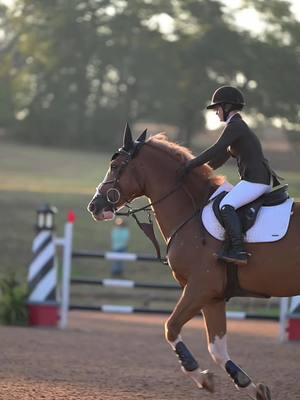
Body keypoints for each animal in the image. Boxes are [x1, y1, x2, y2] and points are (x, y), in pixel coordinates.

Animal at [87, 123, 300, 398]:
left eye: (115, 166)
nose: (94, 206)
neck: (192, 212)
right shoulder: (213, 297)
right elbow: (217, 350)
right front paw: (251, 386)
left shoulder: (200, 288)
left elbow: (171, 327)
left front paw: (198, 374)